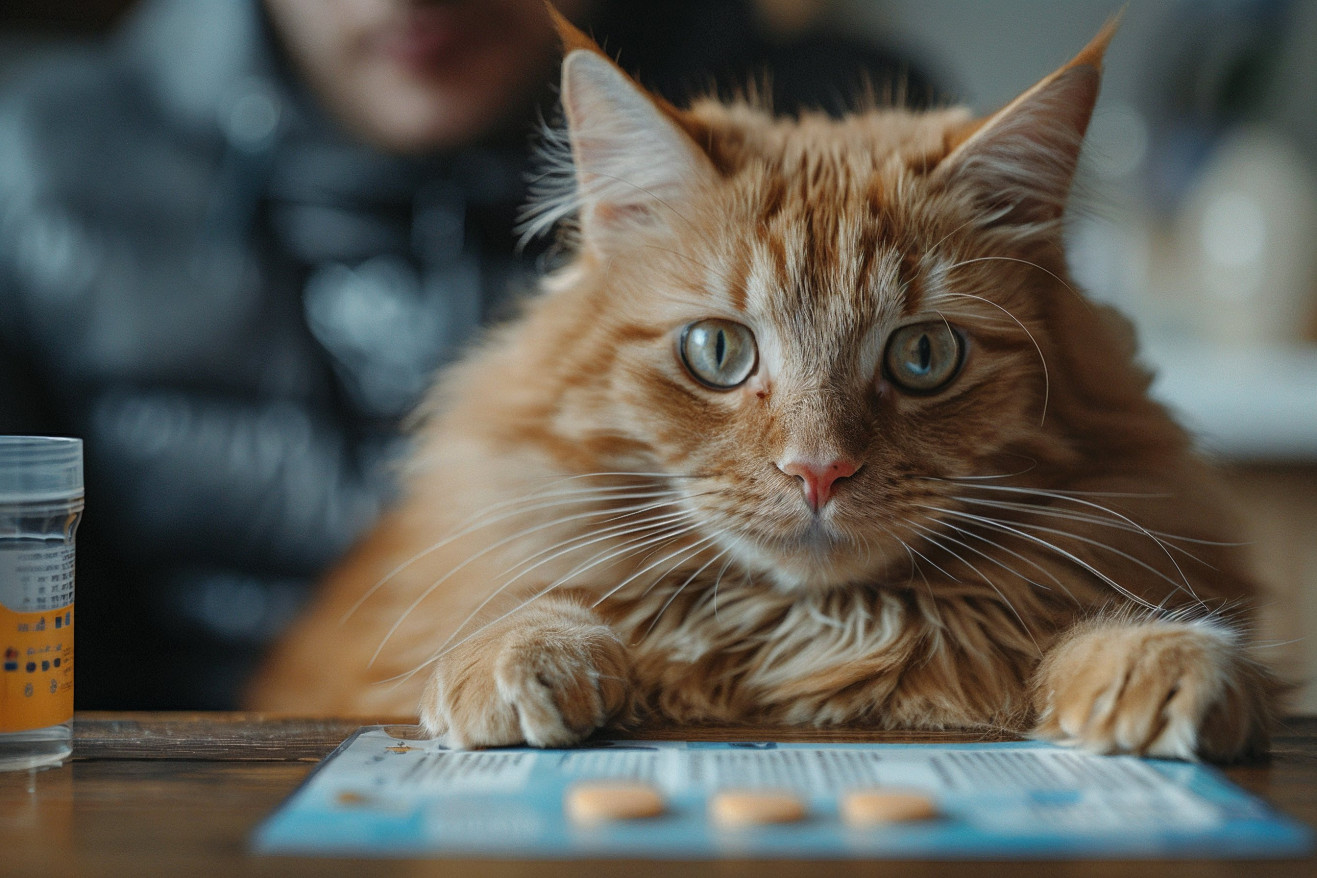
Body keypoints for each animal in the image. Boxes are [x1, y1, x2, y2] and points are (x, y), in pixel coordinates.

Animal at [244, 12, 1274, 763]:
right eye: (716, 351)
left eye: (923, 355)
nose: (818, 472)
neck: (811, 631)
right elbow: (544, 597)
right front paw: (516, 655)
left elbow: (1087, 624)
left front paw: (1154, 662)